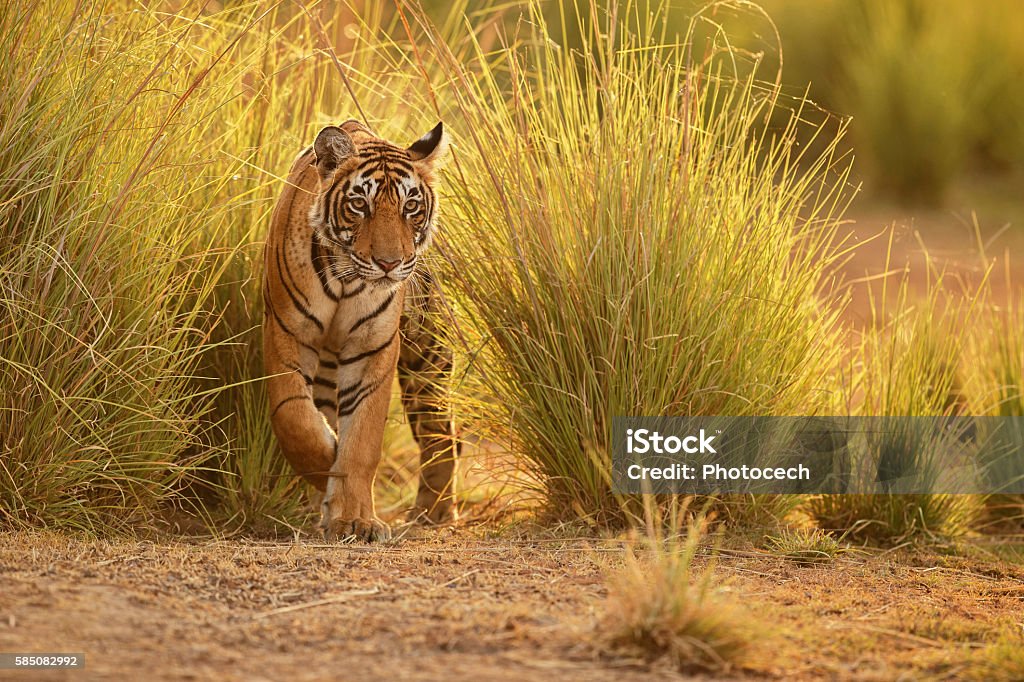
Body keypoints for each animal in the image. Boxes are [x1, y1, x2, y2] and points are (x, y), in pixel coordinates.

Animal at [264, 118, 456, 540]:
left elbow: (363, 438)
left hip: (428, 357)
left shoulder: (373, 348)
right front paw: (328, 469)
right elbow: (296, 420)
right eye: (359, 205)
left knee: (441, 434)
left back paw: (432, 511)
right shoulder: (288, 334)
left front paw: (355, 519)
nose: (389, 263)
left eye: (410, 207)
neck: (346, 279)